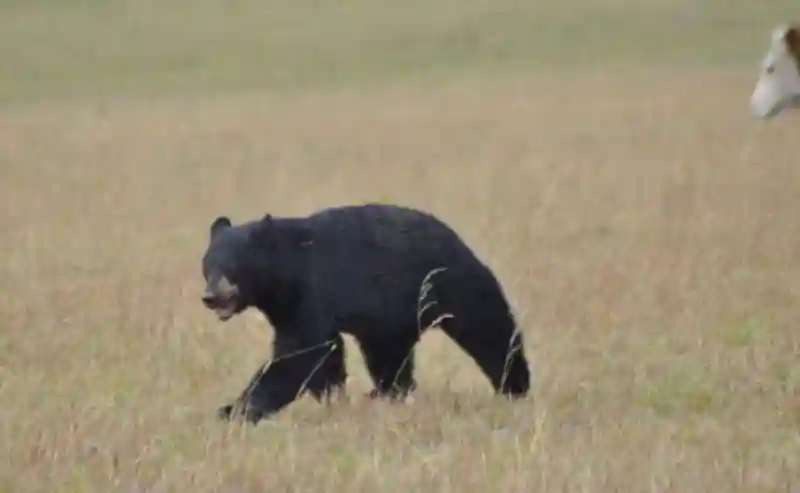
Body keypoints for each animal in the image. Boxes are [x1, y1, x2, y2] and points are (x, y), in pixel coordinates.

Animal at [200, 202, 532, 420]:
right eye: (207, 266)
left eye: (232, 268)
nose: (211, 297)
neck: (287, 271)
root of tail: (457, 239)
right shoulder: (286, 306)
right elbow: (324, 353)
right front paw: (332, 396)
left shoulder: (312, 290)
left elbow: (300, 354)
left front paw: (235, 410)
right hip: (393, 318)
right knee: (389, 358)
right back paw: (388, 394)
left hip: (449, 283)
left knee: (488, 329)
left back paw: (515, 386)